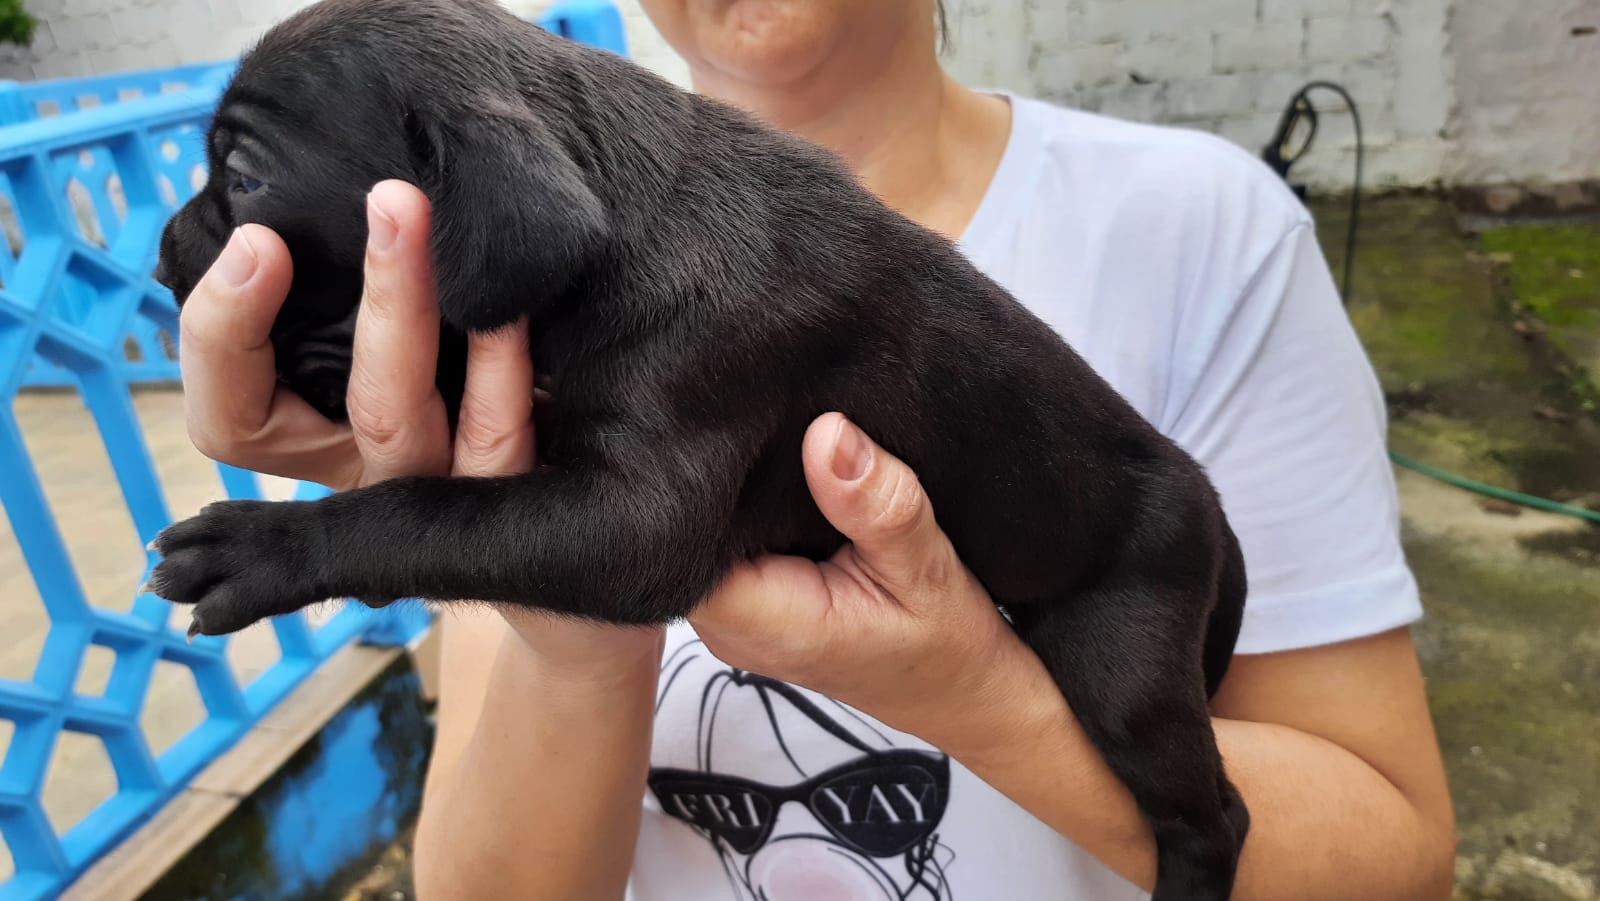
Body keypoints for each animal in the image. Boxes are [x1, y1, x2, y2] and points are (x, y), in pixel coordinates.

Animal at [150, 0, 1248, 896]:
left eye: (242, 176)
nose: (160, 252)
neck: (620, 226)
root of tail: (1212, 514)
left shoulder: (634, 522)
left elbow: (426, 511)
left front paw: (261, 545)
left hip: (1125, 660)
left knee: (1212, 815)